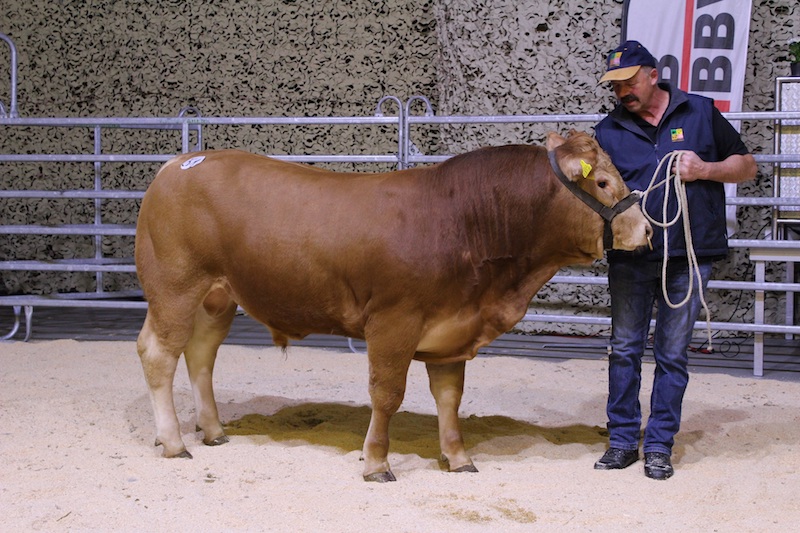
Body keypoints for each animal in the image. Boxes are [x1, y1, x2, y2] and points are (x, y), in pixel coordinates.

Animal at [134, 129, 652, 482]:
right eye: (603, 183)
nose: (647, 228)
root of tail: (178, 163)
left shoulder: (451, 329)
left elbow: (450, 398)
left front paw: (459, 458)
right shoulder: (393, 321)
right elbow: (387, 394)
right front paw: (377, 462)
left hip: (217, 298)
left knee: (200, 354)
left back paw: (212, 429)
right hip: (175, 287)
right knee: (159, 353)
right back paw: (175, 441)